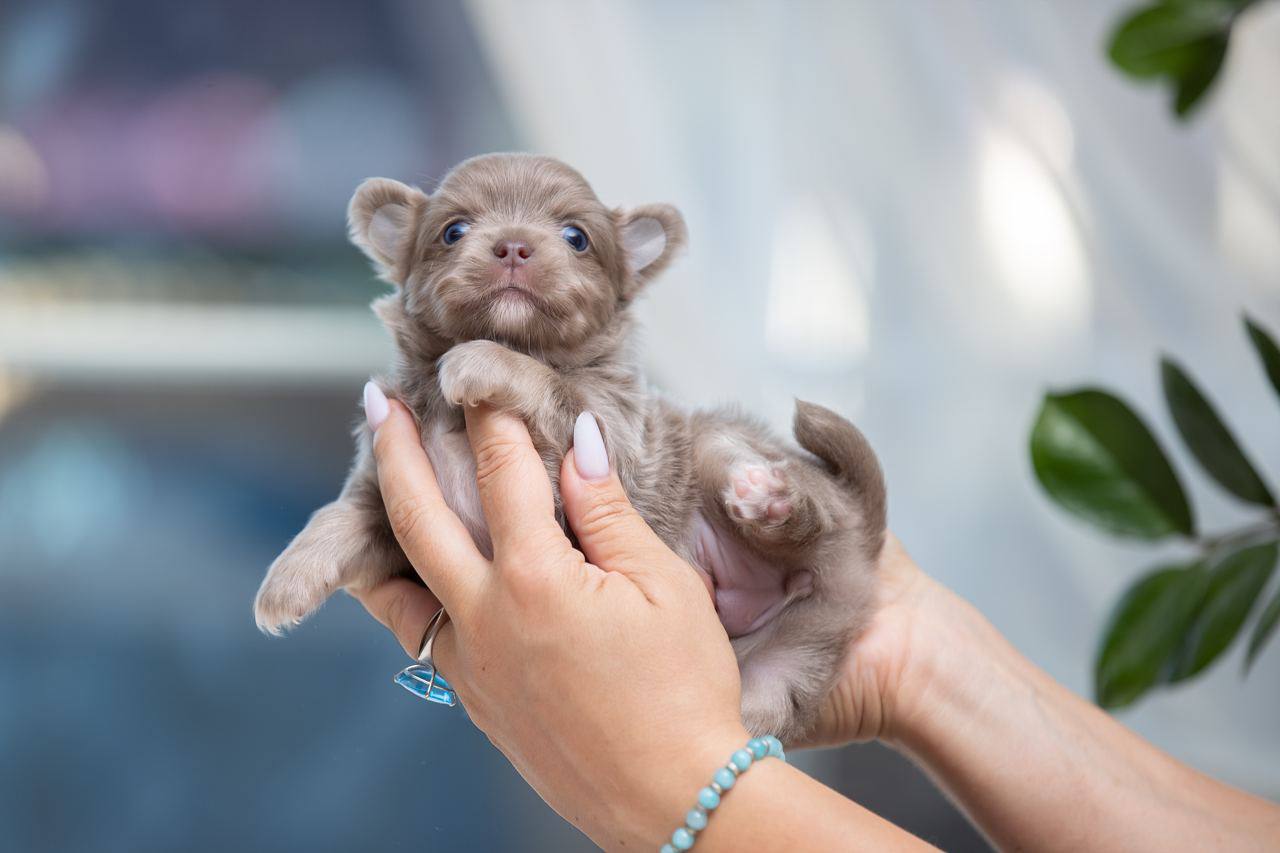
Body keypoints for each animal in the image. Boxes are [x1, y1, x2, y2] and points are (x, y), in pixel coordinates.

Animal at [254, 153, 885, 737]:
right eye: (453, 231)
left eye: (576, 238)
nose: (513, 245)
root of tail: (864, 554)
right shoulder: (386, 500)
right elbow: (341, 515)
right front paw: (286, 580)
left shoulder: (611, 434)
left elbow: (545, 381)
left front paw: (479, 359)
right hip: (778, 670)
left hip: (723, 451)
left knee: (804, 511)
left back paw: (765, 498)